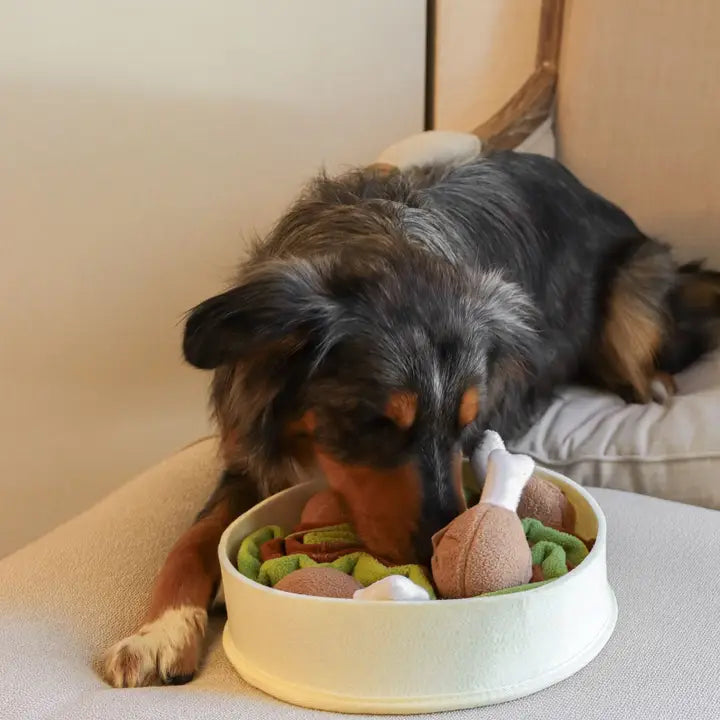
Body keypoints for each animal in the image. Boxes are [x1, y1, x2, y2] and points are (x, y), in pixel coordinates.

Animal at [102, 150, 720, 688]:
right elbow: (193, 538)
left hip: (633, 298)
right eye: (377, 423)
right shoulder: (248, 449)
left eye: (466, 425)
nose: (435, 552)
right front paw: (159, 632)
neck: (383, 233)